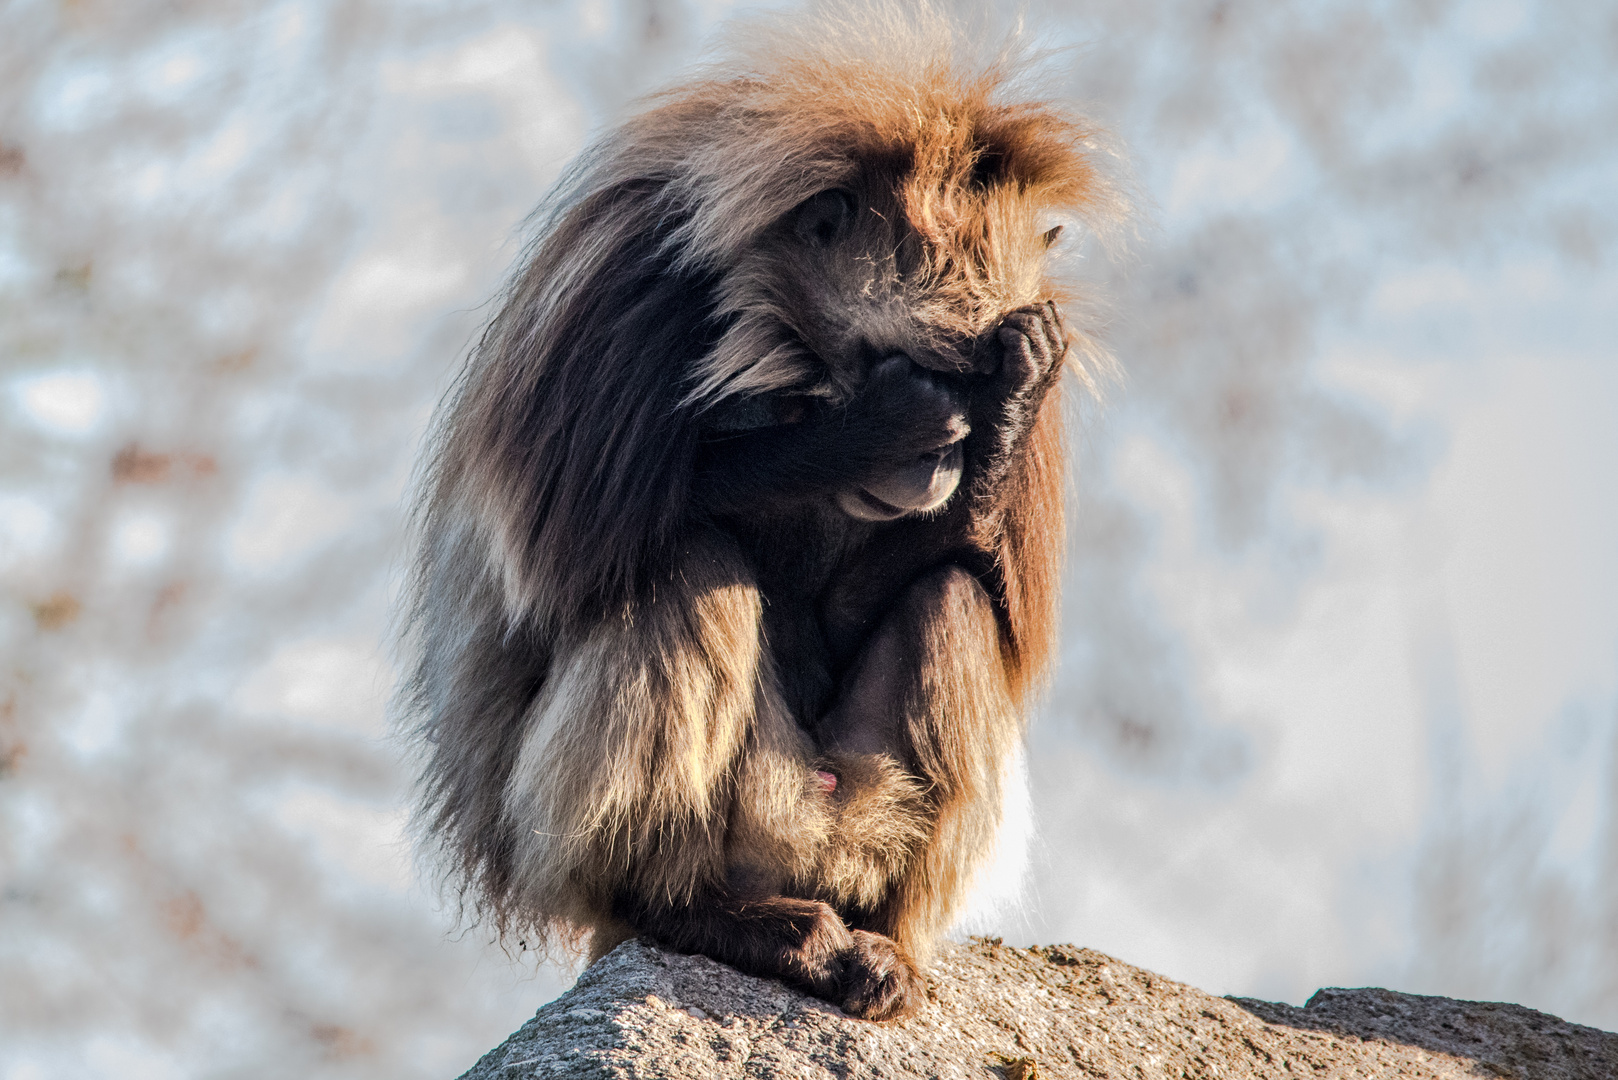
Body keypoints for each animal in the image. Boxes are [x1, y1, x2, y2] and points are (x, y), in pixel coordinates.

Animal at [398, 6, 1119, 1023]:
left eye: (987, 379)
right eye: (923, 366)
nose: (940, 461)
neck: (772, 322)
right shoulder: (629, 277)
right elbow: (570, 544)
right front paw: (868, 429)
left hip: (849, 811)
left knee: (953, 599)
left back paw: (879, 946)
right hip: (611, 831)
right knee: (685, 567)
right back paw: (698, 915)